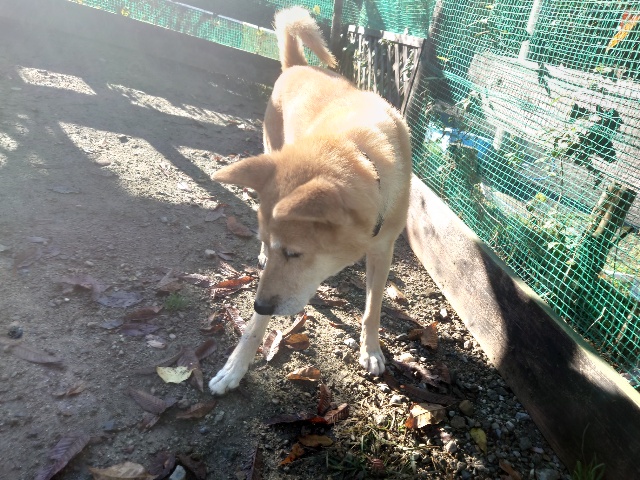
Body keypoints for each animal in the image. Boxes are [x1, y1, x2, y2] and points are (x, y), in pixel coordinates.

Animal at [208, 6, 412, 395]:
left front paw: (371, 349)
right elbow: (254, 328)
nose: (259, 303)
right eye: (283, 252)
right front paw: (234, 367)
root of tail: (297, 66)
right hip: (270, 147)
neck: (360, 151)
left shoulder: (383, 250)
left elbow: (373, 308)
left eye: (294, 253)